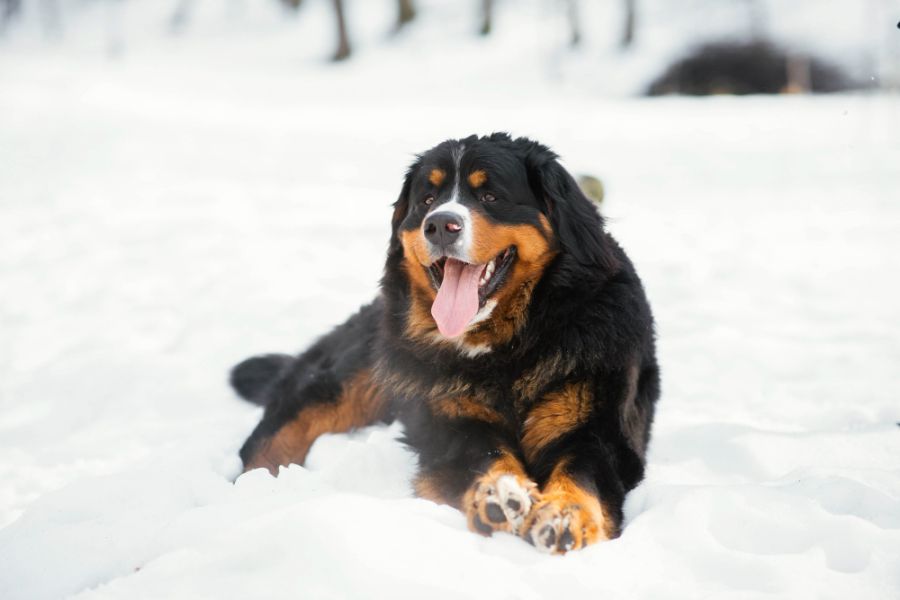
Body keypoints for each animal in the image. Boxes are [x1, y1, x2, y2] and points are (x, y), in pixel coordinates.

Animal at [229, 134, 656, 556]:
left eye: (490, 196)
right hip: (351, 377)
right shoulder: (451, 423)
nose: (439, 225)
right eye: (427, 200)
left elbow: (580, 476)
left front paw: (565, 517)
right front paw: (500, 496)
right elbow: (485, 457)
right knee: (271, 438)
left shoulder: (596, 430)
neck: (508, 350)